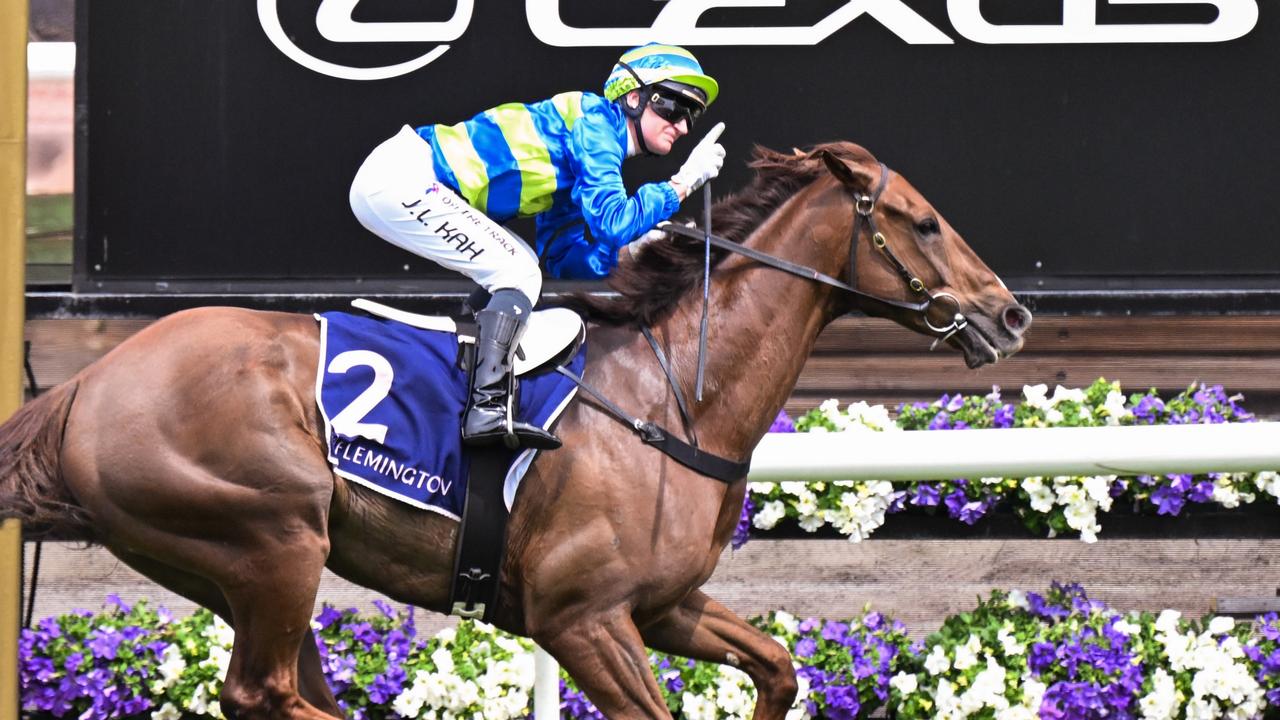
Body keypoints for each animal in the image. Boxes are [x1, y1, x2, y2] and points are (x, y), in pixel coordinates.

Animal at [0, 141, 1029, 717]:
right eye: (925, 224)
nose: (1011, 314)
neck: (675, 401)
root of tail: (84, 387)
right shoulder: (581, 619)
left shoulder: (661, 605)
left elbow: (776, 667)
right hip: (271, 538)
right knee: (264, 694)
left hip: (239, 566)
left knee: (276, 694)